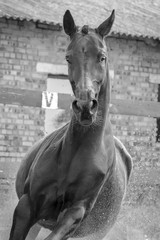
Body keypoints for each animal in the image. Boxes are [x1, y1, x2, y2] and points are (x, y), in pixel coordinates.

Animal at [8, 9, 132, 240]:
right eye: (68, 57)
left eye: (102, 57)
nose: (85, 106)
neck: (76, 153)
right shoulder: (27, 205)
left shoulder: (75, 213)